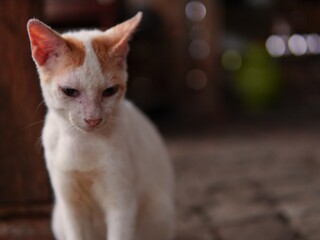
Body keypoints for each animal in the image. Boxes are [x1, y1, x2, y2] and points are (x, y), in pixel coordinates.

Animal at [26, 12, 175, 240]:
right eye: (70, 91)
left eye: (110, 91)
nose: (93, 119)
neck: (81, 142)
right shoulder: (70, 205)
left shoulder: (122, 204)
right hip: (58, 218)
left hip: (160, 214)